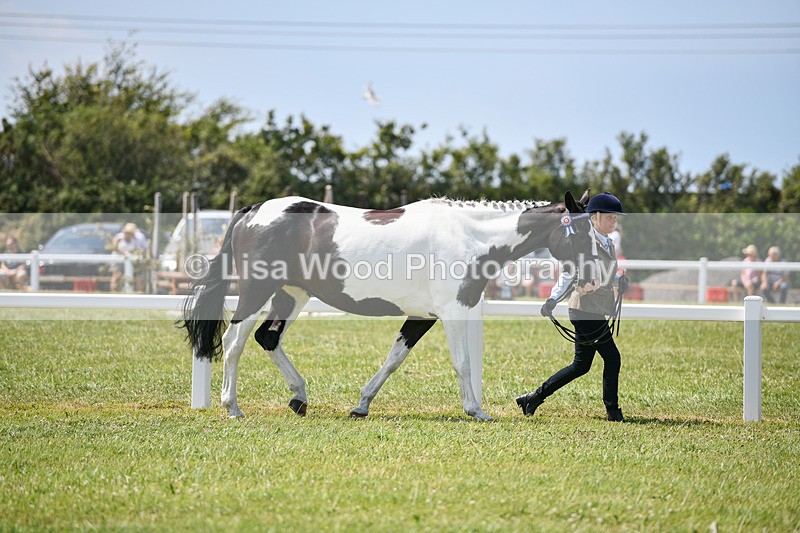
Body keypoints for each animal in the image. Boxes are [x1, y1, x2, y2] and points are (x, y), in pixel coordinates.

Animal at [181, 189, 595, 421]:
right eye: (583, 232)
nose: (594, 273)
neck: (468, 235)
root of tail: (252, 212)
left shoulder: (423, 316)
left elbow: (394, 359)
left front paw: (361, 405)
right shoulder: (453, 312)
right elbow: (462, 363)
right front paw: (477, 411)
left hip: (291, 294)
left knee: (268, 339)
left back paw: (299, 398)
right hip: (256, 291)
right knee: (234, 341)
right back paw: (232, 407)